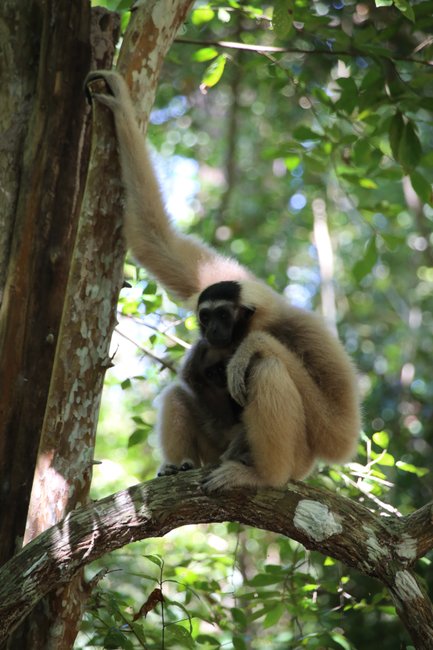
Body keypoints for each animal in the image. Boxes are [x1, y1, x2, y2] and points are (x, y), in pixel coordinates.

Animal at [86, 70, 361, 490]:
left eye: (224, 316)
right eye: (205, 315)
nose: (212, 330)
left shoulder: (306, 331)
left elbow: (338, 433)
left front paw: (250, 347)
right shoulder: (218, 280)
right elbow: (156, 241)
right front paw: (120, 106)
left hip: (297, 461)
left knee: (267, 369)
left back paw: (261, 475)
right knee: (178, 392)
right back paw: (179, 464)